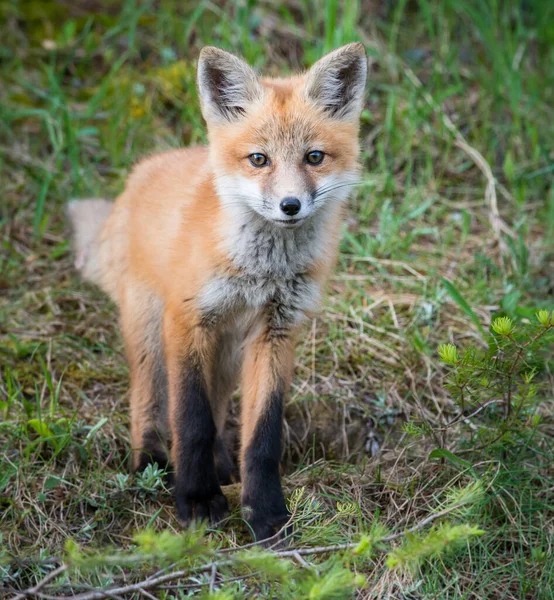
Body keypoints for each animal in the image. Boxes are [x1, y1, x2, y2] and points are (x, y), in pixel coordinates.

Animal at [69, 42, 366, 540]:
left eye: (314, 157)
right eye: (259, 159)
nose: (290, 205)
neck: (261, 271)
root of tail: (140, 174)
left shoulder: (276, 331)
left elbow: (262, 436)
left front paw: (264, 511)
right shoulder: (187, 317)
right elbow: (191, 421)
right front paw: (196, 500)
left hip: (227, 351)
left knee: (218, 402)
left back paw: (222, 464)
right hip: (153, 333)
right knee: (150, 400)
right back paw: (151, 463)